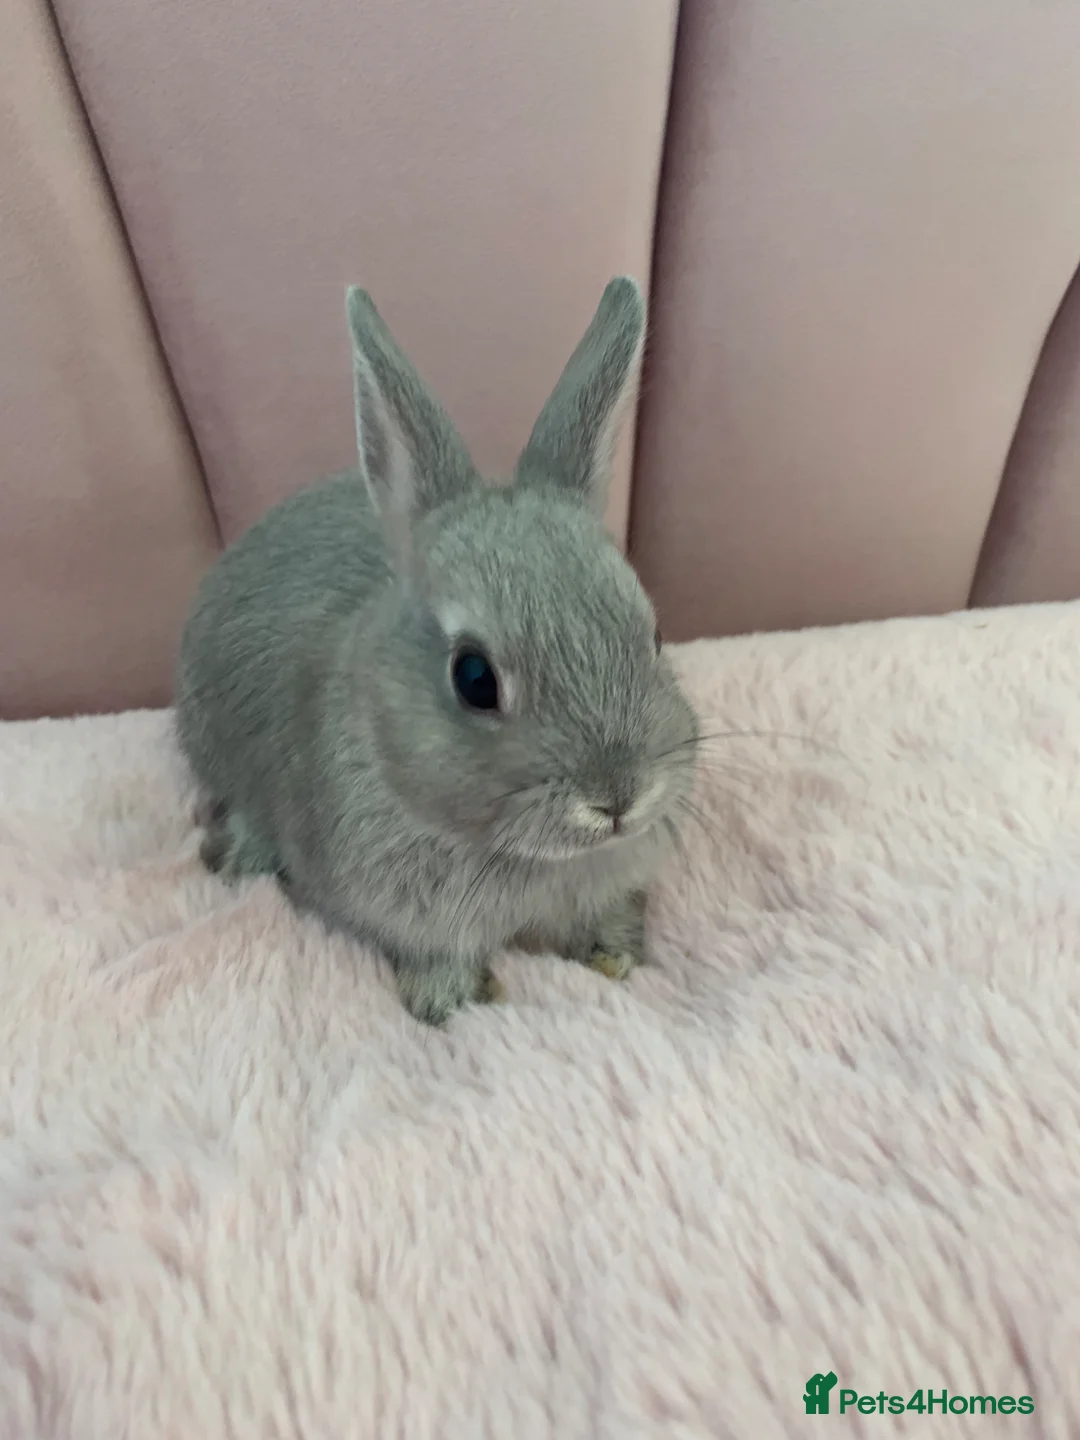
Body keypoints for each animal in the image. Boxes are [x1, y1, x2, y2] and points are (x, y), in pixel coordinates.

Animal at [174, 276, 699, 1025]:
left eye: (652, 635)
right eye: (474, 677)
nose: (618, 797)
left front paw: (617, 955)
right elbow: (432, 956)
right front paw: (448, 1002)